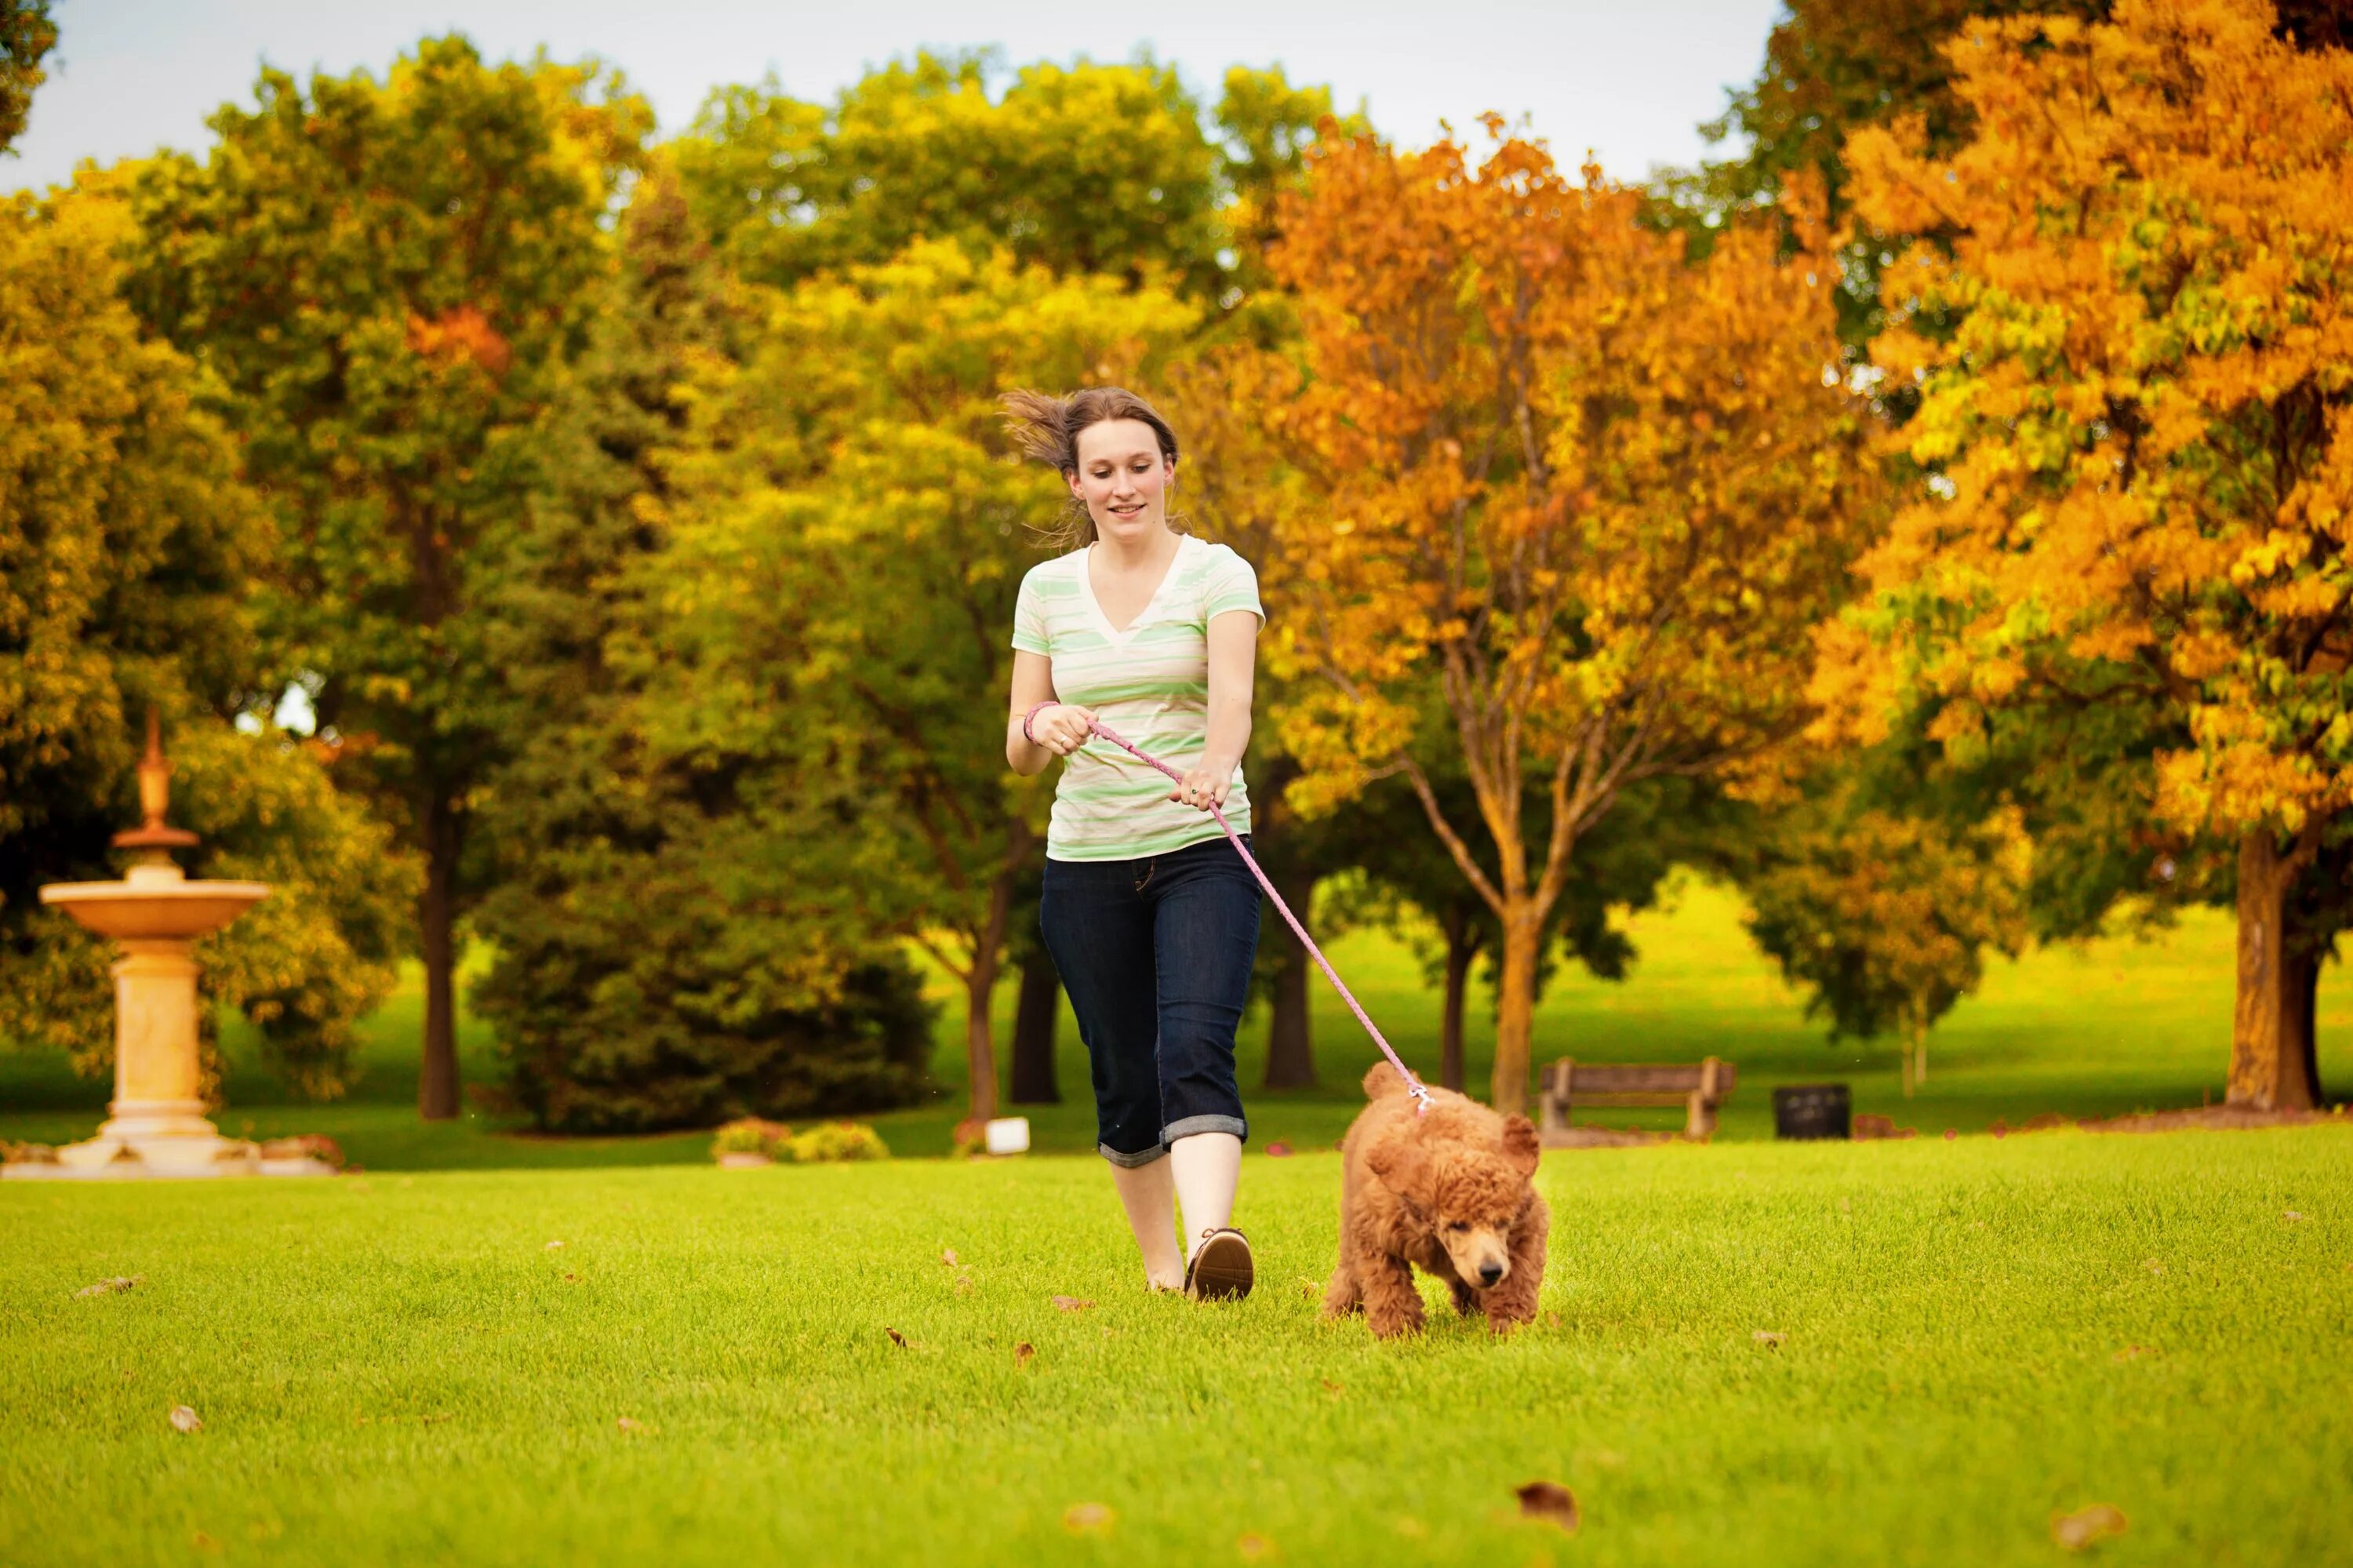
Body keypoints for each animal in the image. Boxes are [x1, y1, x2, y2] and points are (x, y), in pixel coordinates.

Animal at [1327, 1064, 1544, 1327]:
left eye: (1502, 1223)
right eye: (1458, 1225)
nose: (1491, 1271)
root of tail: (1394, 1087)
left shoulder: (1526, 1224)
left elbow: (1518, 1277)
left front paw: (1511, 1323)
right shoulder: (1377, 1229)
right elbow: (1388, 1285)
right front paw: (1399, 1330)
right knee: (1349, 1272)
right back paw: (1334, 1315)